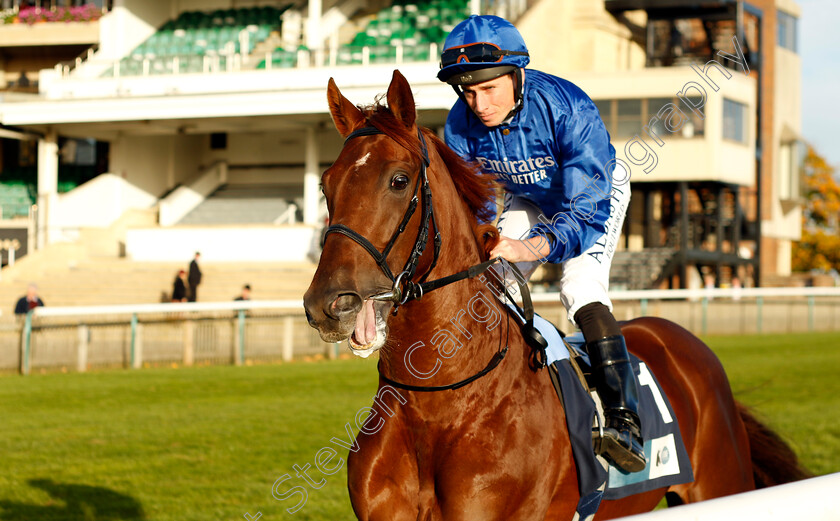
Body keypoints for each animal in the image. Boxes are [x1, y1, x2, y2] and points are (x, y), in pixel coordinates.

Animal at [302, 72, 808, 520]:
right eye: (326, 185)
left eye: (399, 180)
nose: (329, 304)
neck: (438, 404)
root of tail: (687, 343)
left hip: (723, 484)